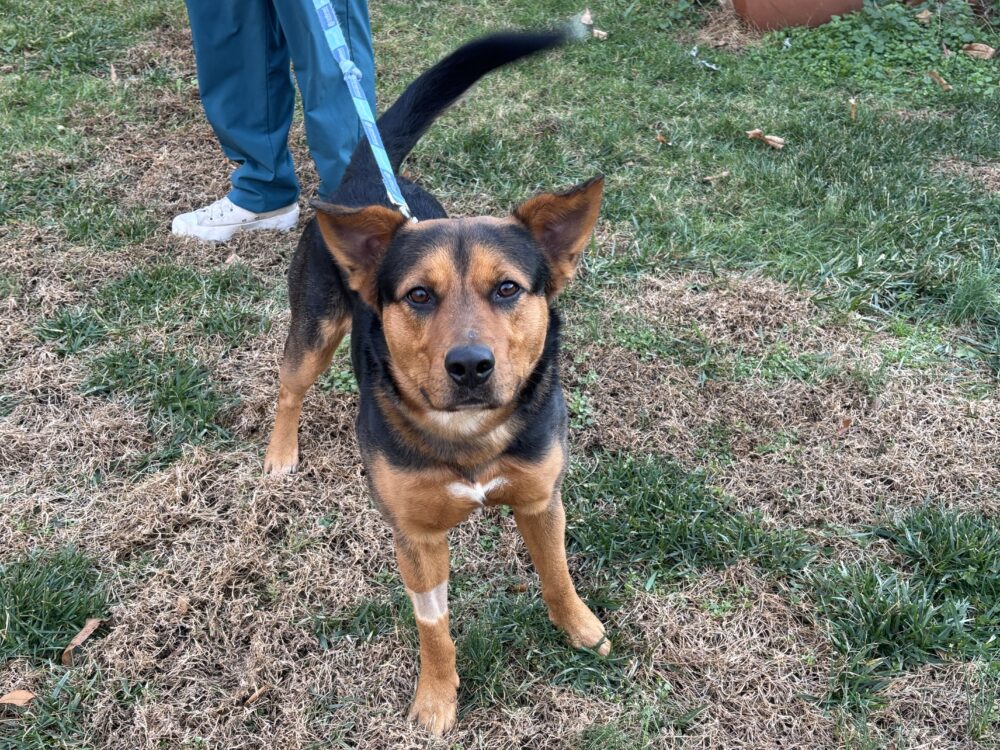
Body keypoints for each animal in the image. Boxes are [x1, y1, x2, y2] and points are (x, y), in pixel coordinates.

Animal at [263, 29, 608, 734]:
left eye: (508, 289)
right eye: (419, 295)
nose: (470, 366)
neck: (468, 433)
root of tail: (365, 181)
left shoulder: (541, 498)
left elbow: (557, 572)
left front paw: (580, 628)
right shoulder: (416, 537)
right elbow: (434, 626)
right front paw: (436, 699)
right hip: (313, 328)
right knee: (290, 386)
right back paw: (281, 453)